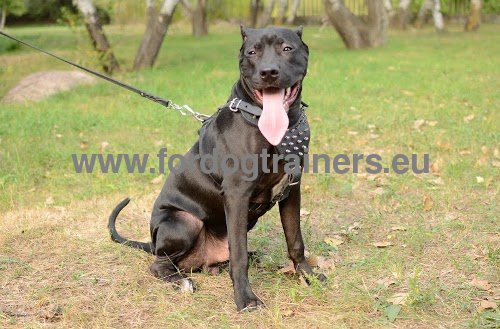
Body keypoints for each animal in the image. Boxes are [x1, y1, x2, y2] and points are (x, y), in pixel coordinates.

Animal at [108, 25, 326, 310]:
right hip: (183, 220)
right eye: (252, 52)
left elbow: (295, 240)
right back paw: (182, 282)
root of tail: (152, 243)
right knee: (160, 265)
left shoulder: (292, 190)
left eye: (287, 48)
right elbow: (240, 256)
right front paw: (245, 298)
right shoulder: (237, 194)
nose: (268, 72)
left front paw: (307, 276)